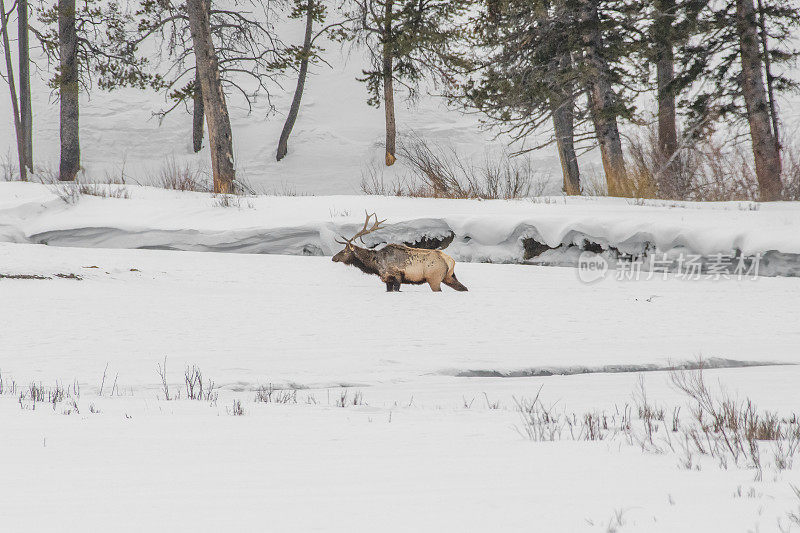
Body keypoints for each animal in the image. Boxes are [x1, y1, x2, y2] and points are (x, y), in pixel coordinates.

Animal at [332, 212, 468, 294]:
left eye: (344, 251)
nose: (333, 258)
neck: (376, 265)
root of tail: (450, 260)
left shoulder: (395, 276)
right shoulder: (388, 279)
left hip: (434, 278)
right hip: (448, 276)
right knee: (464, 288)